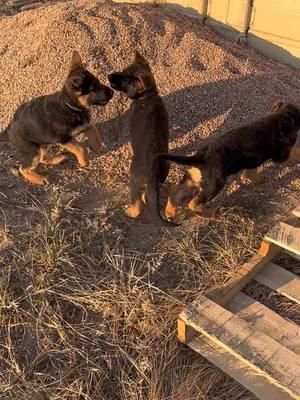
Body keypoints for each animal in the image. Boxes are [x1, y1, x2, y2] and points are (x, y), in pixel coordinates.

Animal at [0, 50, 113, 186]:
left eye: (98, 82)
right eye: (94, 88)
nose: (112, 92)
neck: (71, 106)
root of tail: (8, 129)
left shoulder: (87, 125)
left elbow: (95, 136)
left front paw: (96, 147)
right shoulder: (63, 139)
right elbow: (81, 148)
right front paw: (84, 162)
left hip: (42, 144)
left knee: (43, 158)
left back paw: (58, 159)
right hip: (32, 150)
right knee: (24, 168)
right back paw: (40, 179)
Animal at [108, 51, 176, 227]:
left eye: (126, 79)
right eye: (123, 71)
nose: (108, 75)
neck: (148, 97)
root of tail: (151, 173)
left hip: (133, 180)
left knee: (137, 205)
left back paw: (129, 212)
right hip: (164, 169)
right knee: (147, 195)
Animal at [158, 99, 300, 219]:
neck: (282, 117)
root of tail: (199, 158)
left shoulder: (253, 161)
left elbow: (251, 171)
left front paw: (257, 179)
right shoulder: (282, 155)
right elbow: (295, 152)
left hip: (191, 180)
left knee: (175, 192)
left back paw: (170, 212)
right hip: (214, 186)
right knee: (192, 203)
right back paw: (210, 213)